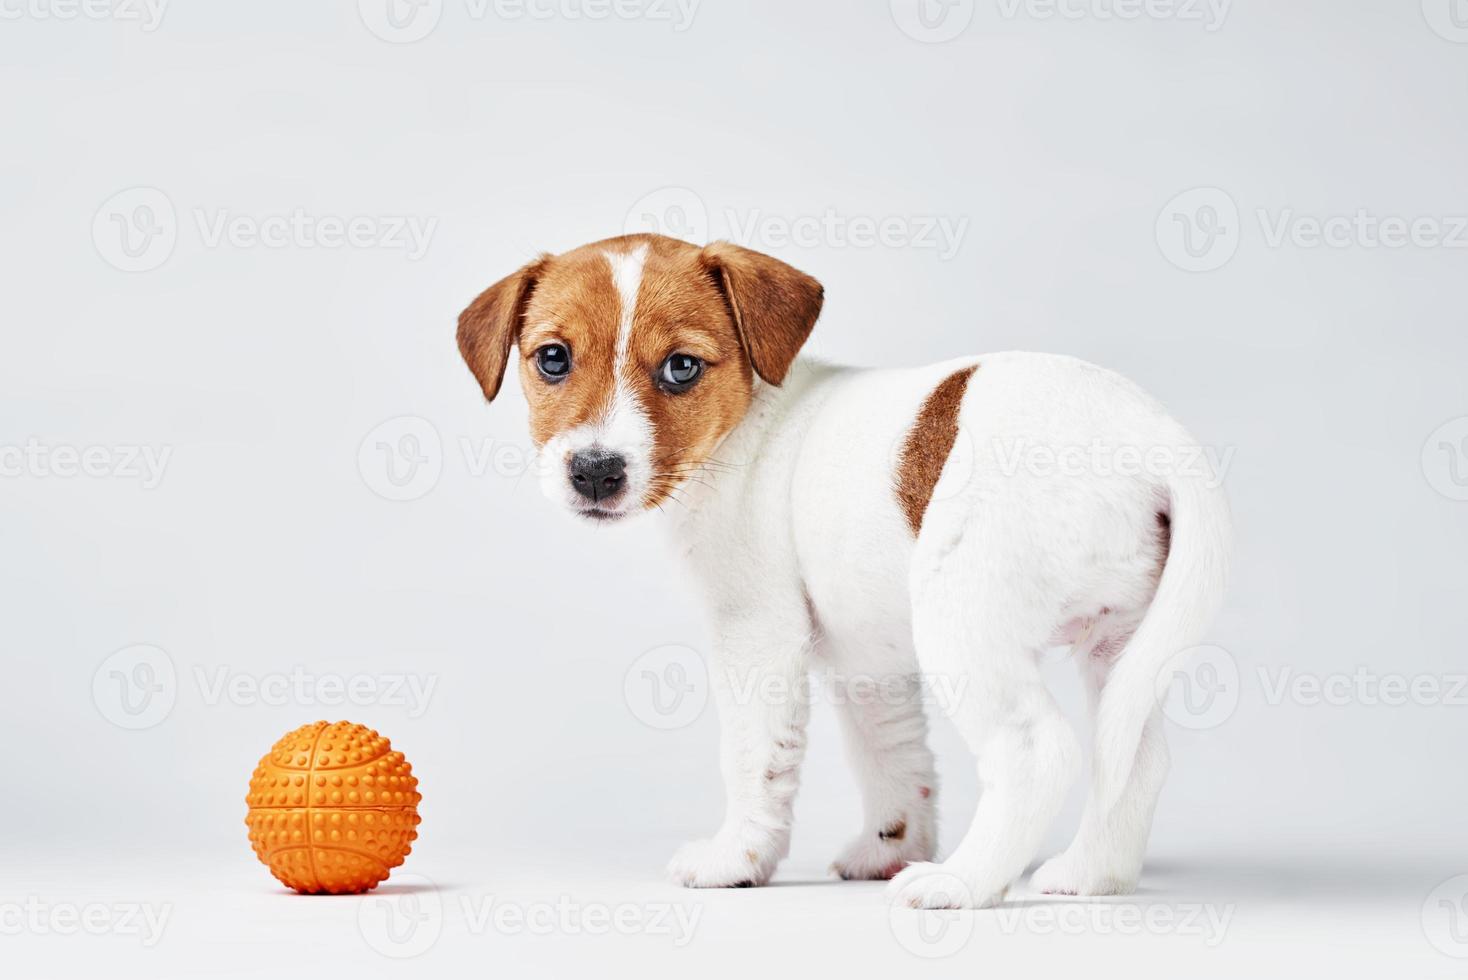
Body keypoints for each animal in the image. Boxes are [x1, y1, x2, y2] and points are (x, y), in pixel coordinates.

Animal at [455, 233, 1227, 909]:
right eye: (553, 359)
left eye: (681, 368)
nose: (595, 471)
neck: (750, 422)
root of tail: (1155, 440)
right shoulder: (869, 660)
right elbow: (894, 757)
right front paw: (891, 846)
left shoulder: (756, 634)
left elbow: (754, 757)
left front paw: (736, 860)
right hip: (1121, 643)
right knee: (1133, 758)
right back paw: (1092, 875)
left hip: (961, 621)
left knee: (1037, 752)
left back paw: (961, 884)